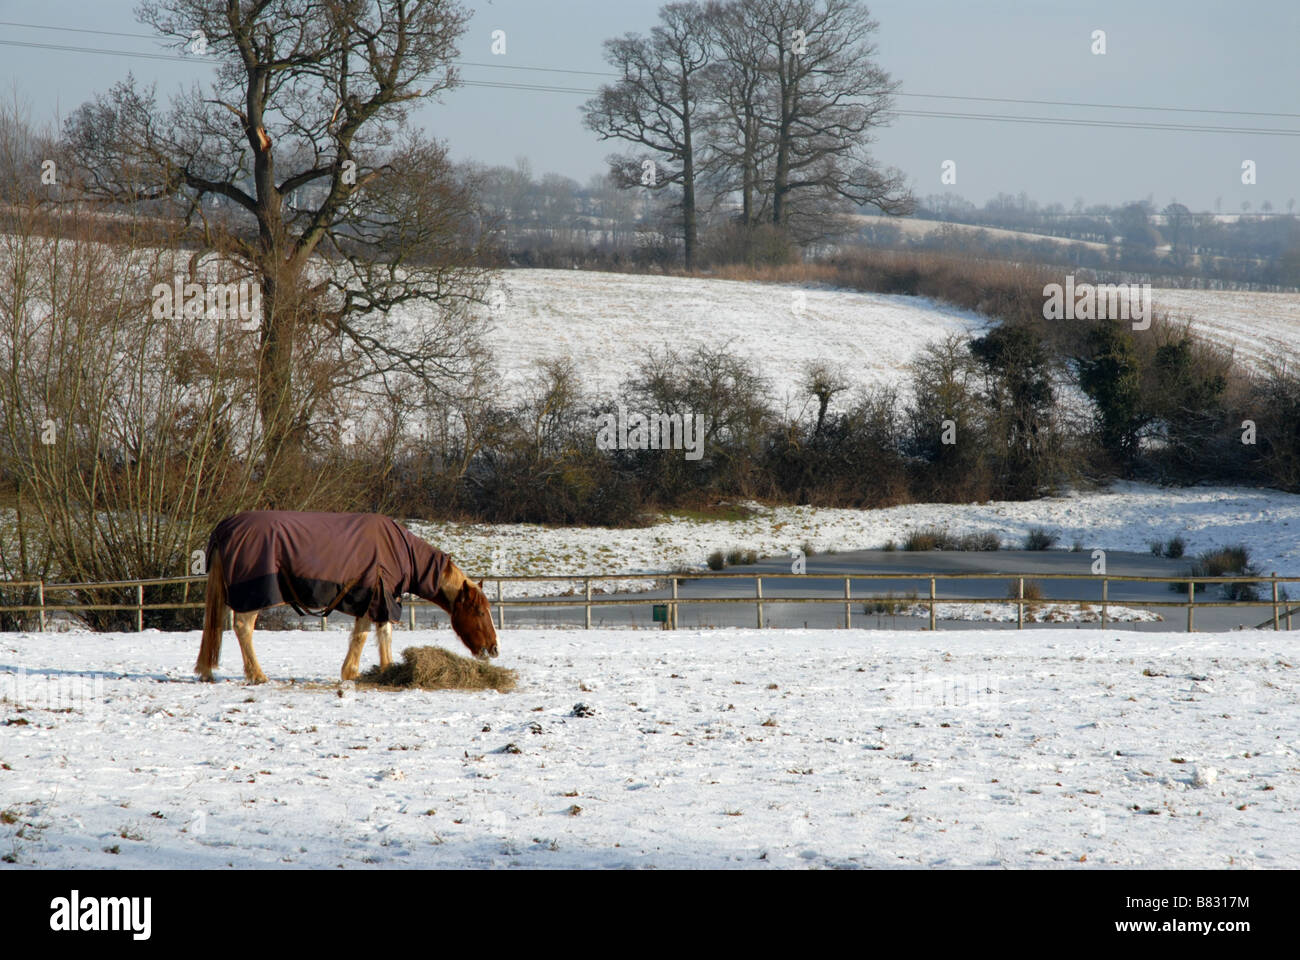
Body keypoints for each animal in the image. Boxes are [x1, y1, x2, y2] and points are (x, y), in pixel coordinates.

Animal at [192, 509, 496, 681]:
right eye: (480, 612)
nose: (494, 649)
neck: (399, 550)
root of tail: (225, 528)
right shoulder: (373, 599)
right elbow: (362, 636)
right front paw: (352, 672)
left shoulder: (381, 602)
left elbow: (383, 635)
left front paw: (387, 671)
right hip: (254, 597)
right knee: (243, 628)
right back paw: (257, 675)